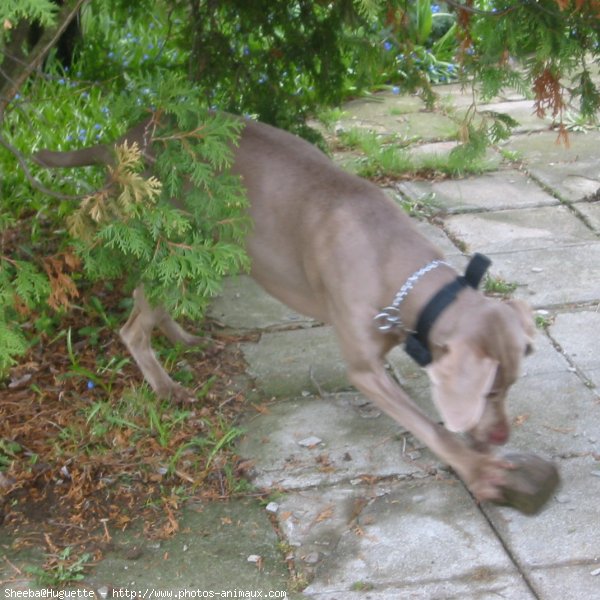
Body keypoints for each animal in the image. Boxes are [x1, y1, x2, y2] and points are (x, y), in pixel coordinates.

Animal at [36, 116, 536, 502]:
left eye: (511, 385)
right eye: (489, 391)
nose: (502, 437)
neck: (402, 275)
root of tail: (127, 138)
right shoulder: (365, 370)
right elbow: (428, 426)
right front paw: (478, 471)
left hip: (198, 248)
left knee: (159, 304)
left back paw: (186, 339)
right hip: (169, 238)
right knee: (134, 325)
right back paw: (166, 386)